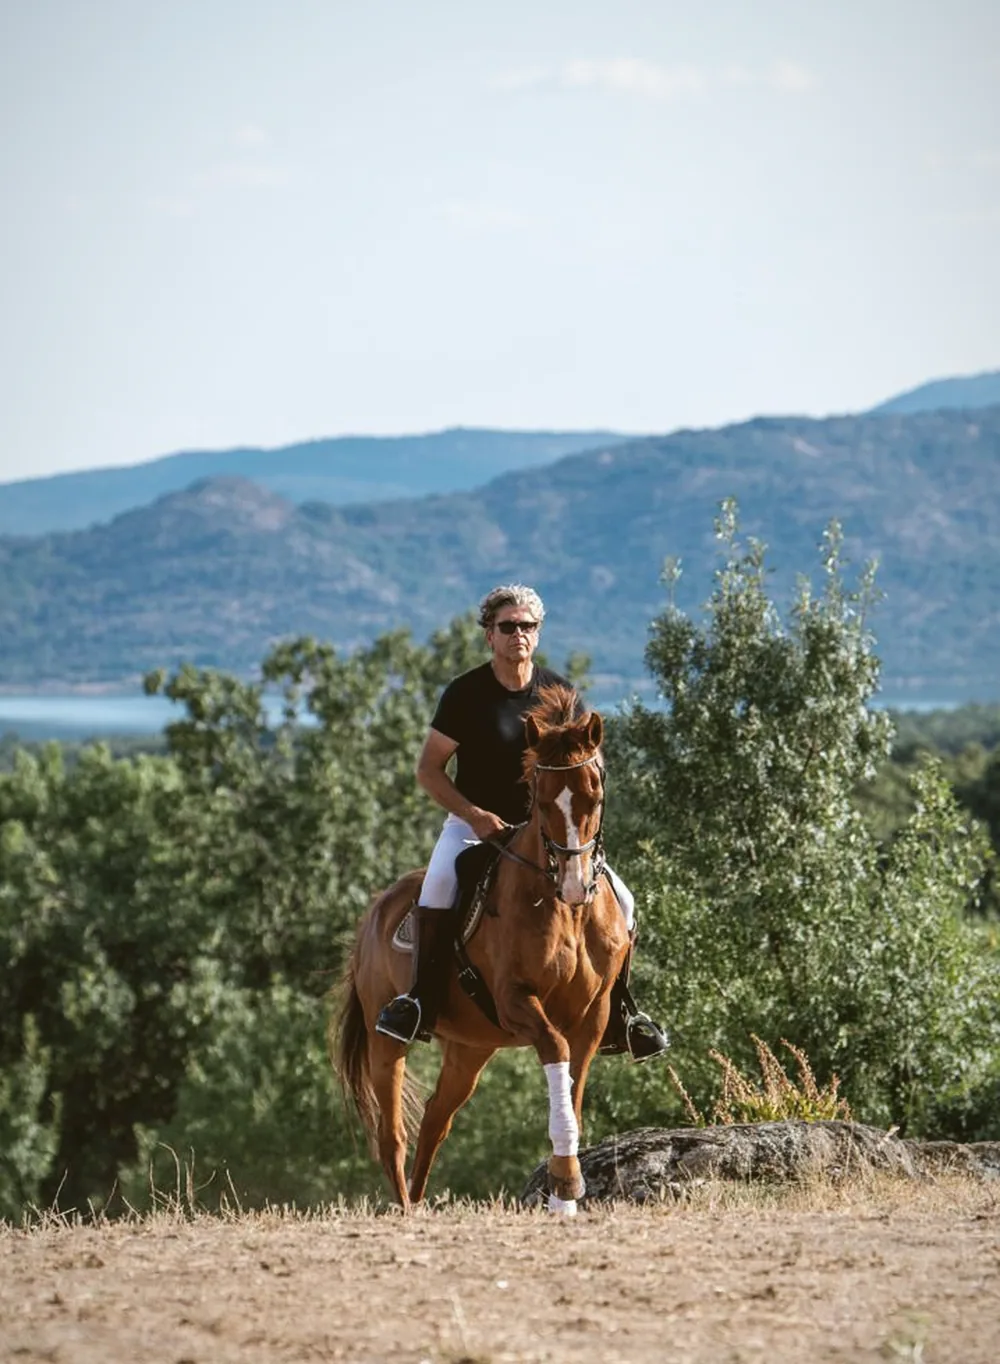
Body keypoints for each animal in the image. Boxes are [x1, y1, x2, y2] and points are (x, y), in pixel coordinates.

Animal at [331, 684, 630, 1215]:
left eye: (594, 796)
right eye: (541, 799)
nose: (575, 886)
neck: (567, 914)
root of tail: (375, 910)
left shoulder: (592, 1014)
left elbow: (573, 1082)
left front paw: (565, 1197)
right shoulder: (517, 1001)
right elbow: (555, 1052)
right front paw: (567, 1180)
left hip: (472, 1047)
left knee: (435, 1120)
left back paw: (420, 1202)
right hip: (387, 1040)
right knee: (392, 1135)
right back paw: (404, 1209)